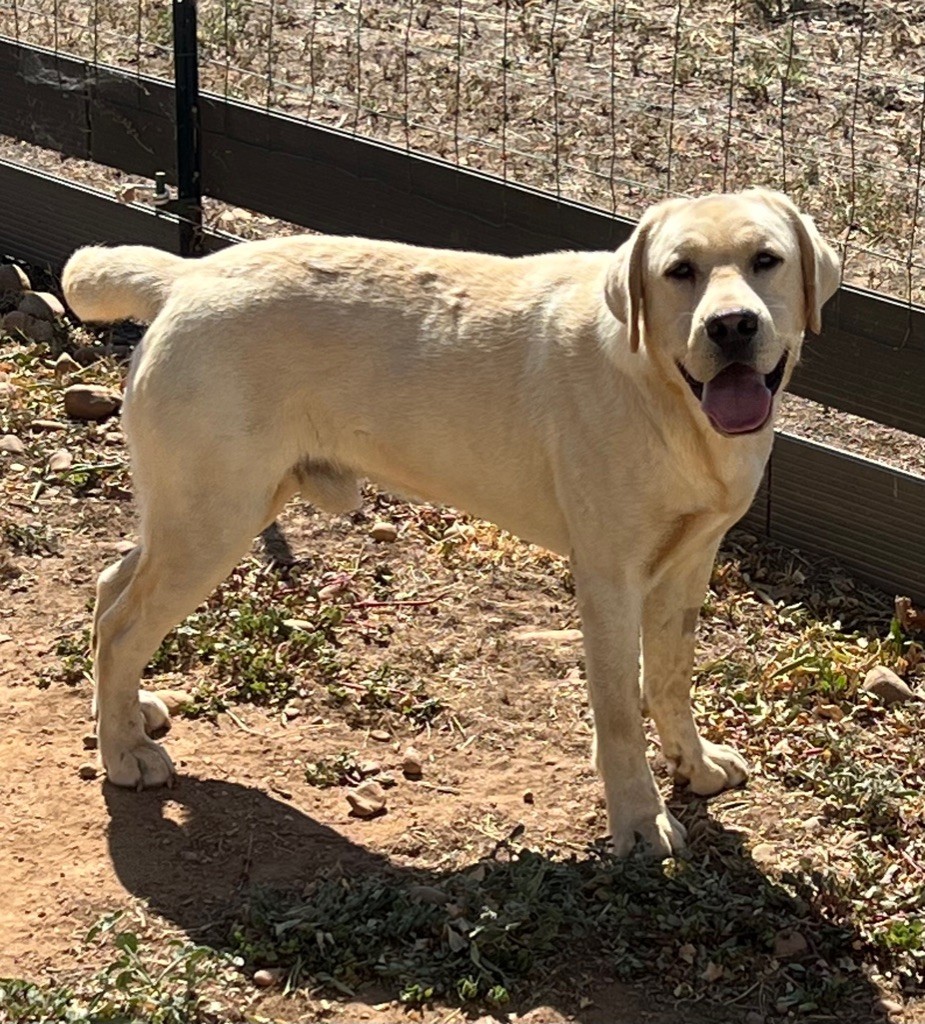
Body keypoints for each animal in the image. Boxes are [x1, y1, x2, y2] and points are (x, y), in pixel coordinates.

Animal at [59, 186, 839, 856]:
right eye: (679, 272)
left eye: (766, 260)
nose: (732, 326)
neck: (665, 395)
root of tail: (187, 274)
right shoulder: (609, 580)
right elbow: (619, 711)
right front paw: (640, 823)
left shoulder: (686, 567)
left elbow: (671, 679)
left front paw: (693, 764)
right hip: (213, 520)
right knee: (124, 624)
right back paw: (125, 753)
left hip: (197, 511)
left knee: (108, 590)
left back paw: (122, 714)